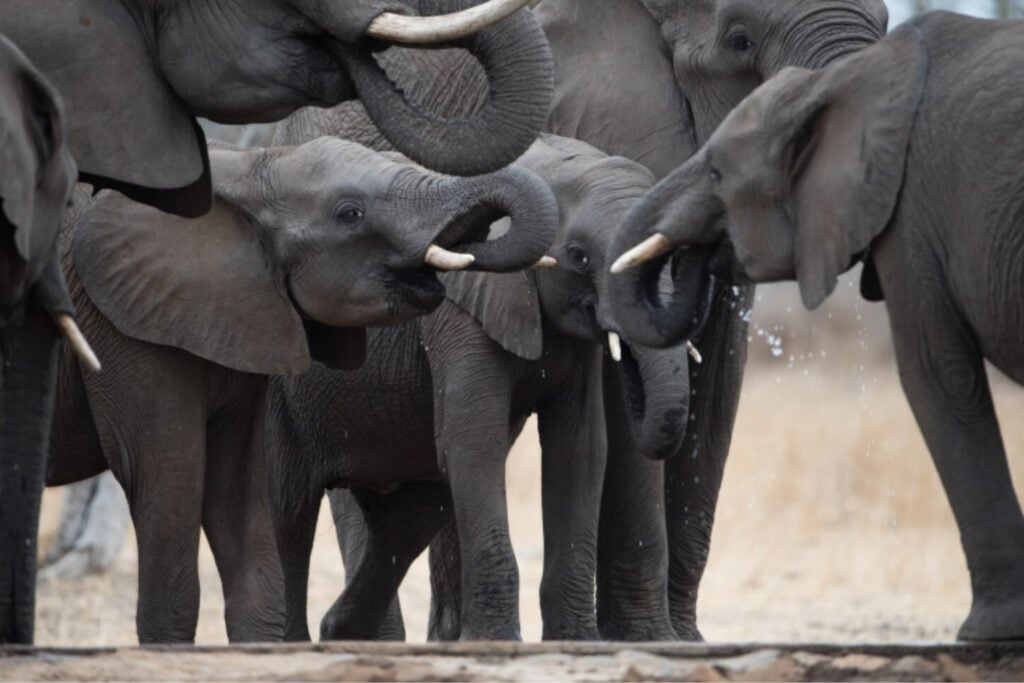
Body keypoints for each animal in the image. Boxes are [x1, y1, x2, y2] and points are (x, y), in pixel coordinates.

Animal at [226, 133, 693, 642]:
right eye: (579, 255)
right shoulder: (460, 315)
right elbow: (474, 443)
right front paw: (497, 644)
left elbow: (579, 451)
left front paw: (578, 644)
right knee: (289, 513)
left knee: (409, 517)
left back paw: (342, 632)